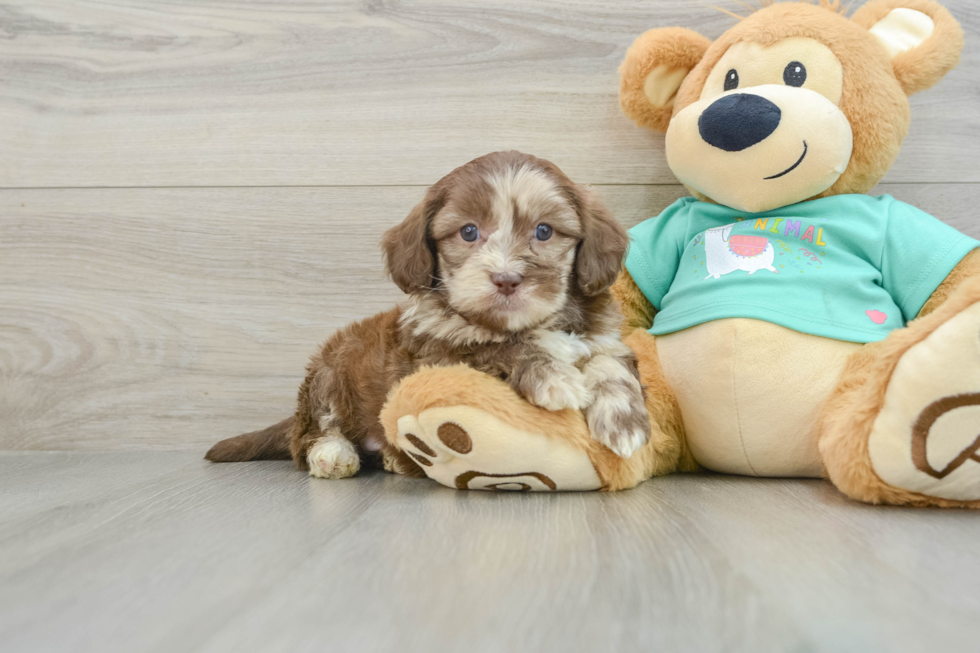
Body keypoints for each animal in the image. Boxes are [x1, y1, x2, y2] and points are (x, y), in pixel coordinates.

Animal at [207, 153, 652, 478]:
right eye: (468, 232)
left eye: (544, 231)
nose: (507, 279)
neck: (523, 324)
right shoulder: (435, 355)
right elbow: (496, 349)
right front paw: (554, 378)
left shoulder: (603, 337)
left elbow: (611, 364)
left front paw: (625, 424)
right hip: (329, 369)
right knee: (312, 432)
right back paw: (334, 455)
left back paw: (391, 457)